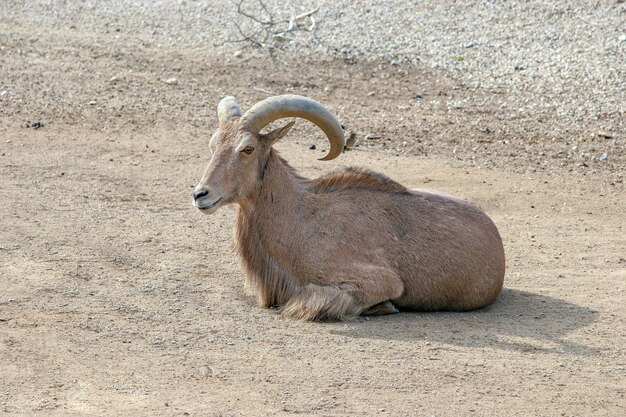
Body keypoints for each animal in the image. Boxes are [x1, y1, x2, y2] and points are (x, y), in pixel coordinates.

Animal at [190, 94, 502, 320]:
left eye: (248, 148)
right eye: (213, 144)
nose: (200, 194)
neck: (300, 219)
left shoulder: (378, 280)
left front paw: (384, 307)